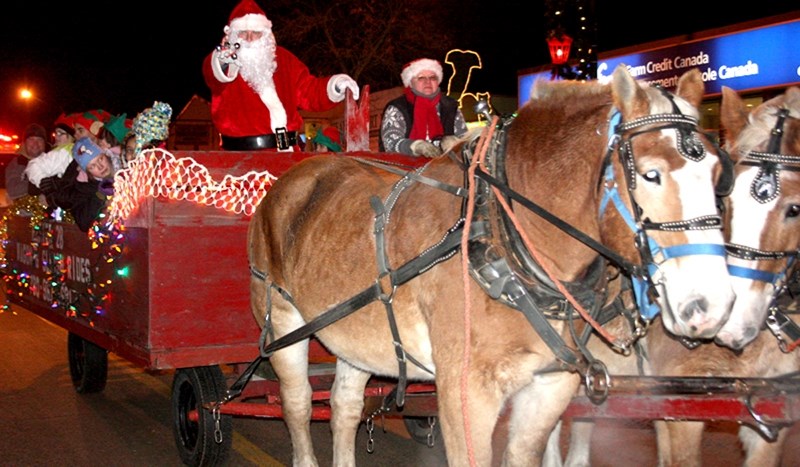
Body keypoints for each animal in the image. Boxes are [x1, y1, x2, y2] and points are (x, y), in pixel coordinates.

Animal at [248, 66, 732, 467]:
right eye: (651, 174)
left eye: (716, 176)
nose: (710, 306)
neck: (503, 235)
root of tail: (292, 178)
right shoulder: (466, 393)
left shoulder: (549, 388)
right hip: (283, 323)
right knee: (298, 403)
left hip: (355, 333)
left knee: (344, 408)